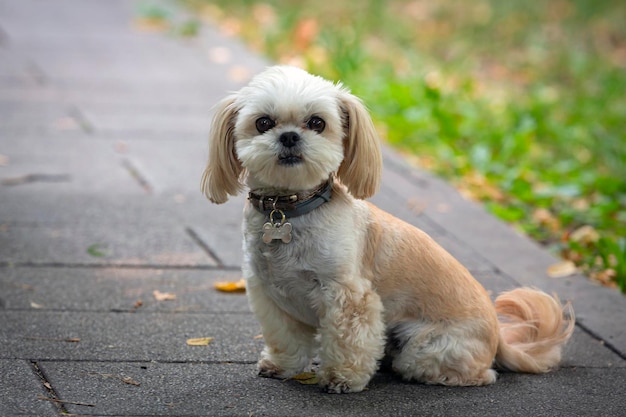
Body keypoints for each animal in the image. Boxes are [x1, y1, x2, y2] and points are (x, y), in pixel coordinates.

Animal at [202, 66, 572, 394]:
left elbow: (348, 341)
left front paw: (342, 379)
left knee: (478, 374)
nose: (290, 136)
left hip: (425, 348)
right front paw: (283, 366)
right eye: (263, 122)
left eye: (317, 123)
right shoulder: (270, 293)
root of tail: (498, 335)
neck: (289, 210)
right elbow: (286, 339)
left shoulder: (350, 297)